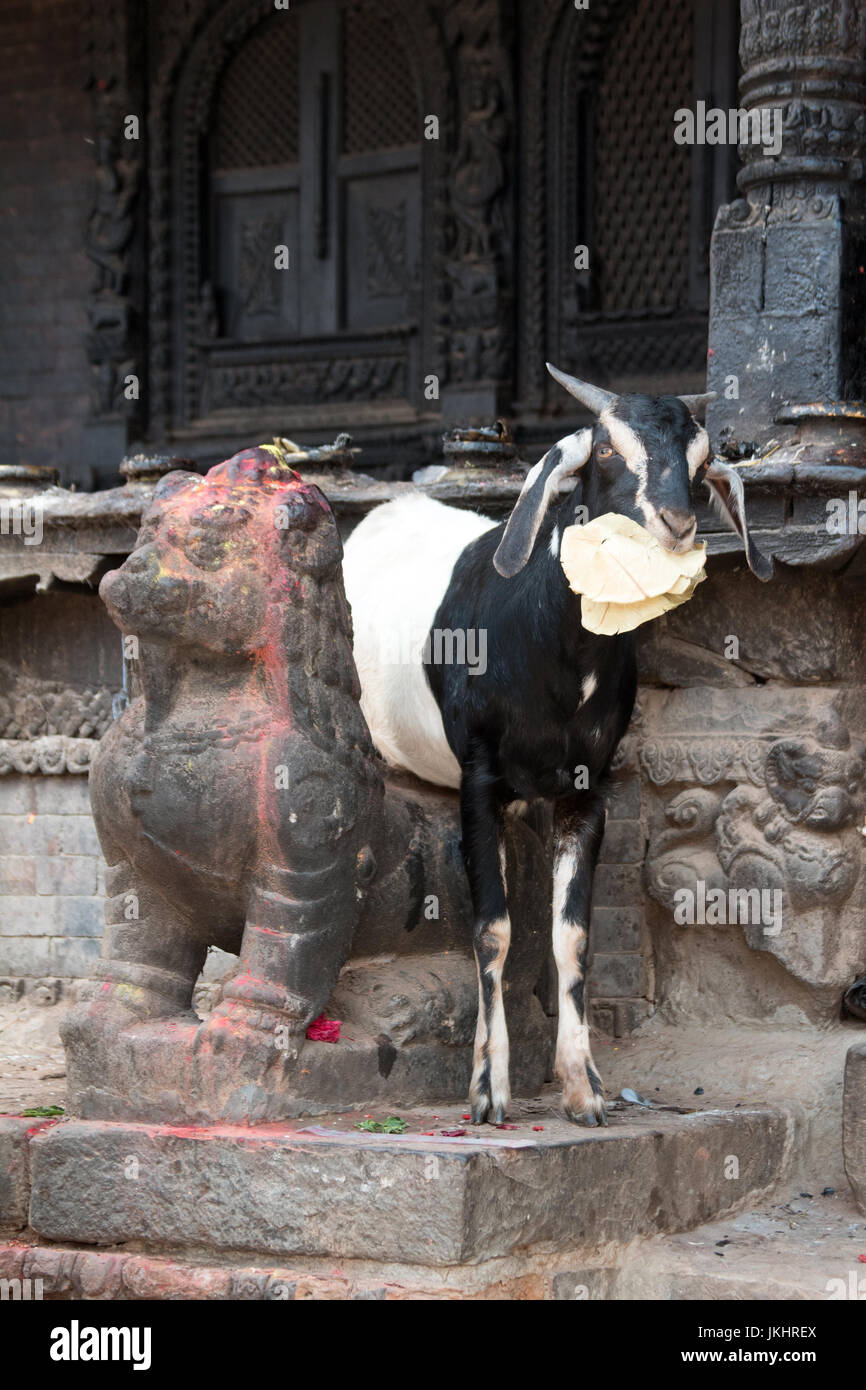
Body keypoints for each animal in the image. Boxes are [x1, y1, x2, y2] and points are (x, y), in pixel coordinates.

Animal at [339, 366, 772, 1128]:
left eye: (700, 465)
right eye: (604, 451)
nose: (676, 525)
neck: (553, 653)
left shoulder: (585, 791)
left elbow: (572, 935)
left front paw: (583, 1086)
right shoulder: (479, 782)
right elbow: (493, 929)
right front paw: (488, 1089)